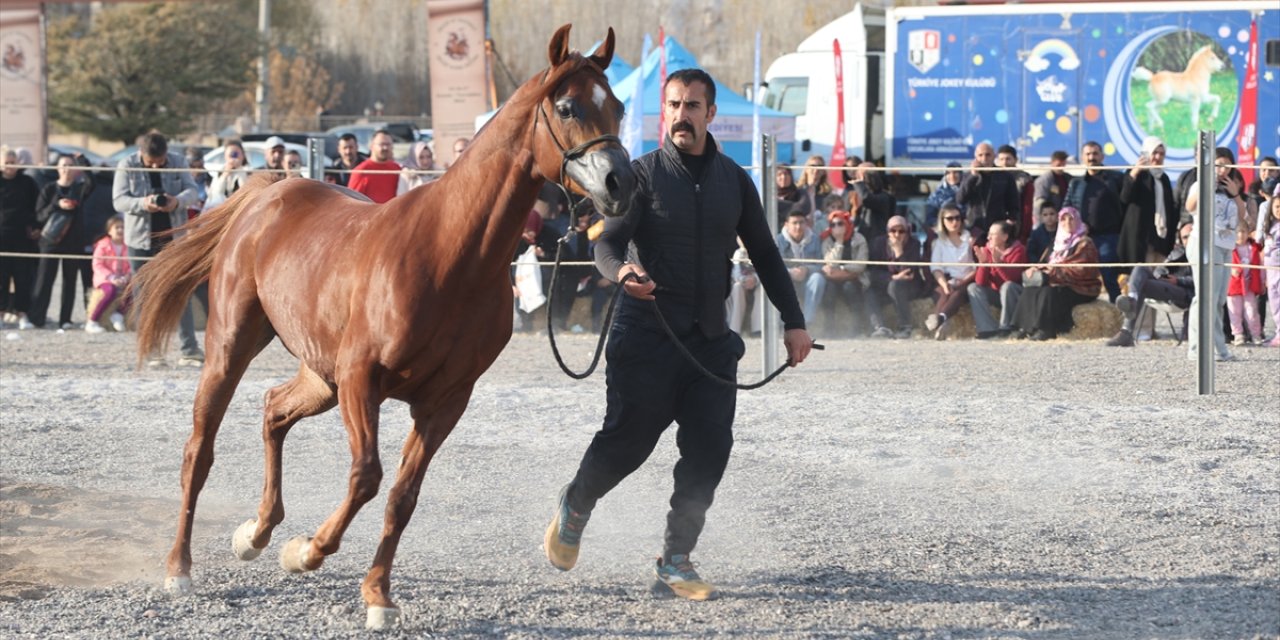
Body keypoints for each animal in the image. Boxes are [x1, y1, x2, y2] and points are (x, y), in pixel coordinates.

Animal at [129, 26, 629, 629]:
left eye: (619, 107)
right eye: (568, 106)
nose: (621, 182)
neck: (451, 254)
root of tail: (269, 191)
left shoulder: (445, 401)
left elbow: (402, 495)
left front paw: (377, 595)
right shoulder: (361, 378)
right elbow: (367, 474)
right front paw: (307, 551)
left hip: (320, 375)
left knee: (274, 411)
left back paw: (255, 533)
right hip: (234, 348)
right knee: (199, 451)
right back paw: (180, 568)